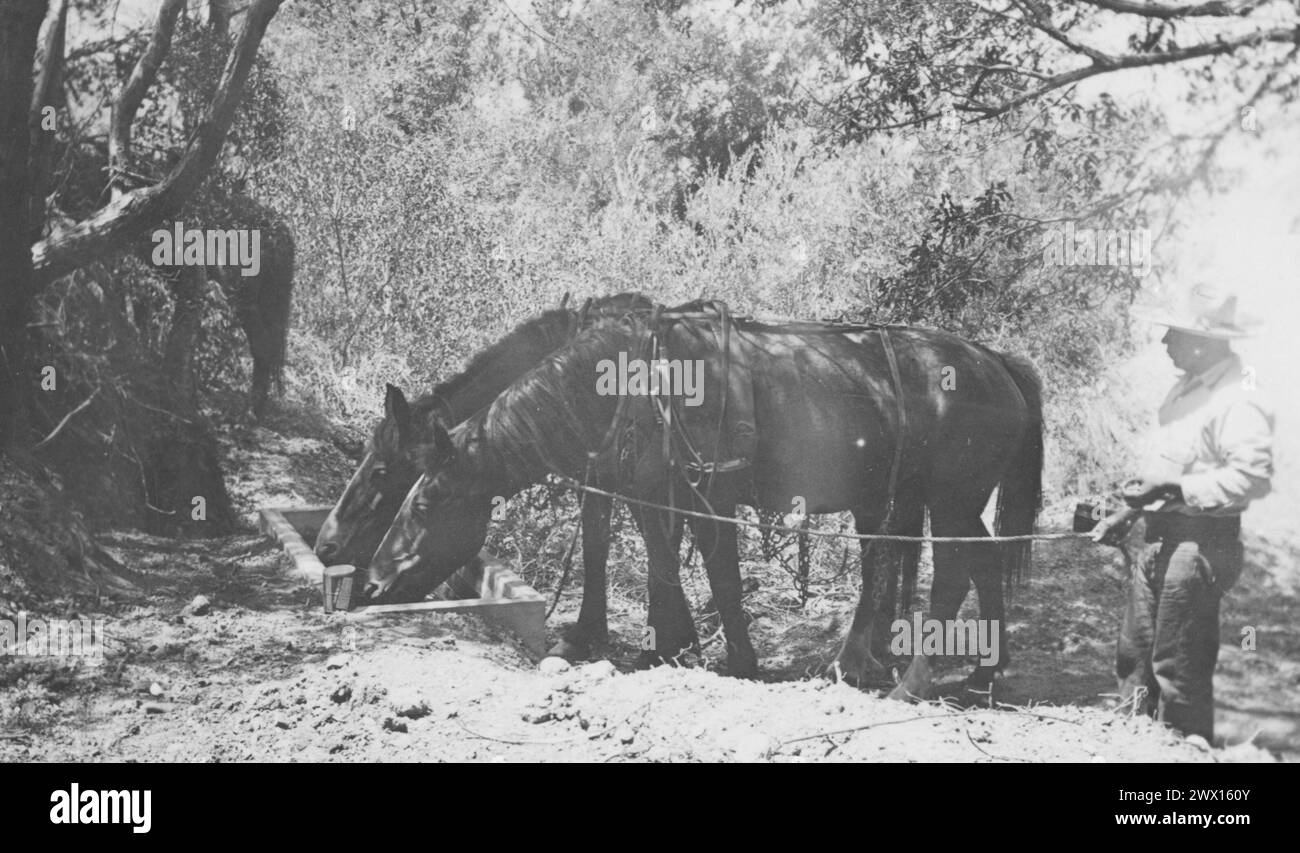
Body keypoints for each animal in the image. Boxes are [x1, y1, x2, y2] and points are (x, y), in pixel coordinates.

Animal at [371, 309, 1040, 696]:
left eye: (425, 503)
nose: (375, 582)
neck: (637, 385)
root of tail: (995, 361)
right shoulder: (655, 493)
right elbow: (665, 562)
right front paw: (671, 645)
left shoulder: (706, 496)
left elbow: (717, 572)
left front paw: (731, 657)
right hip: (946, 503)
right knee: (980, 561)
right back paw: (983, 671)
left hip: (948, 501)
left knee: (952, 573)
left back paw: (899, 679)